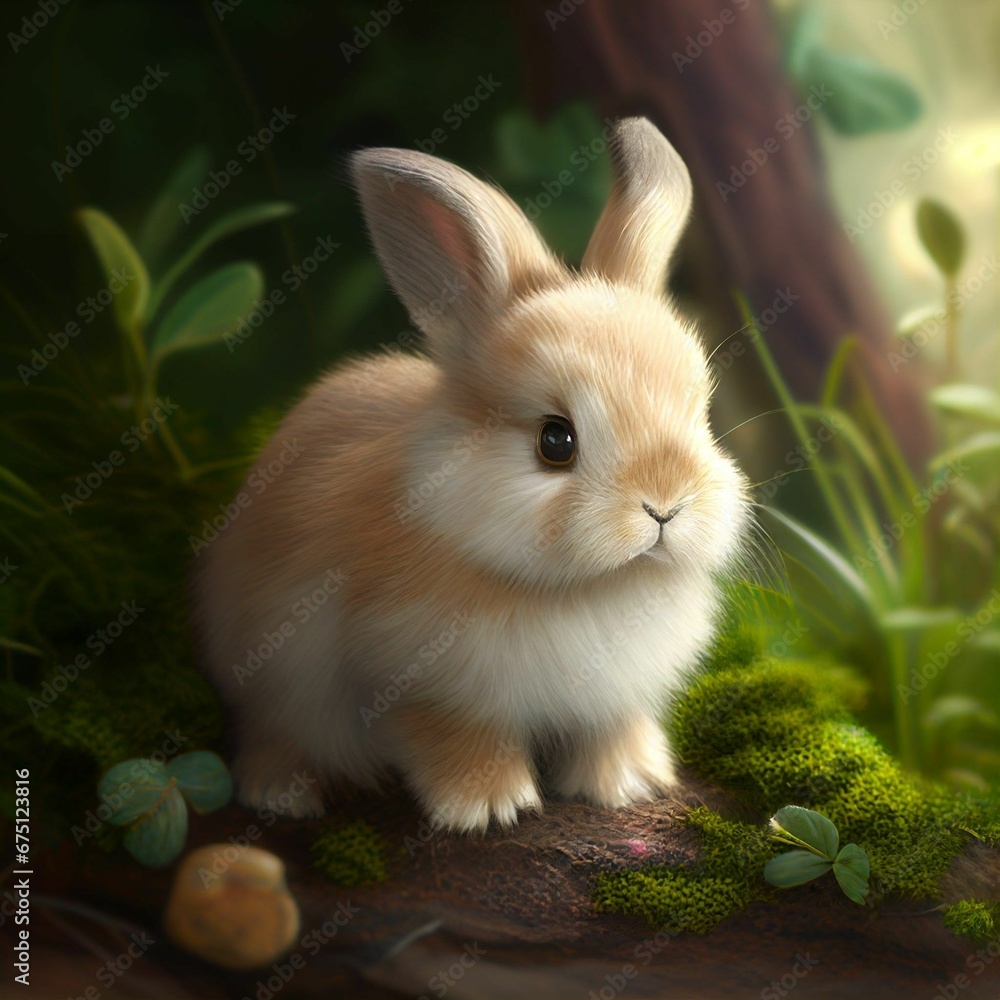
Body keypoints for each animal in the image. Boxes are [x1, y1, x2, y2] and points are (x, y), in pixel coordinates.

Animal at [195, 117, 750, 833]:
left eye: (701, 416)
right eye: (555, 440)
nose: (665, 505)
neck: (591, 587)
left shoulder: (613, 699)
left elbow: (609, 730)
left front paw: (630, 784)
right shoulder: (413, 681)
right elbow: (453, 737)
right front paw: (489, 806)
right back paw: (282, 794)